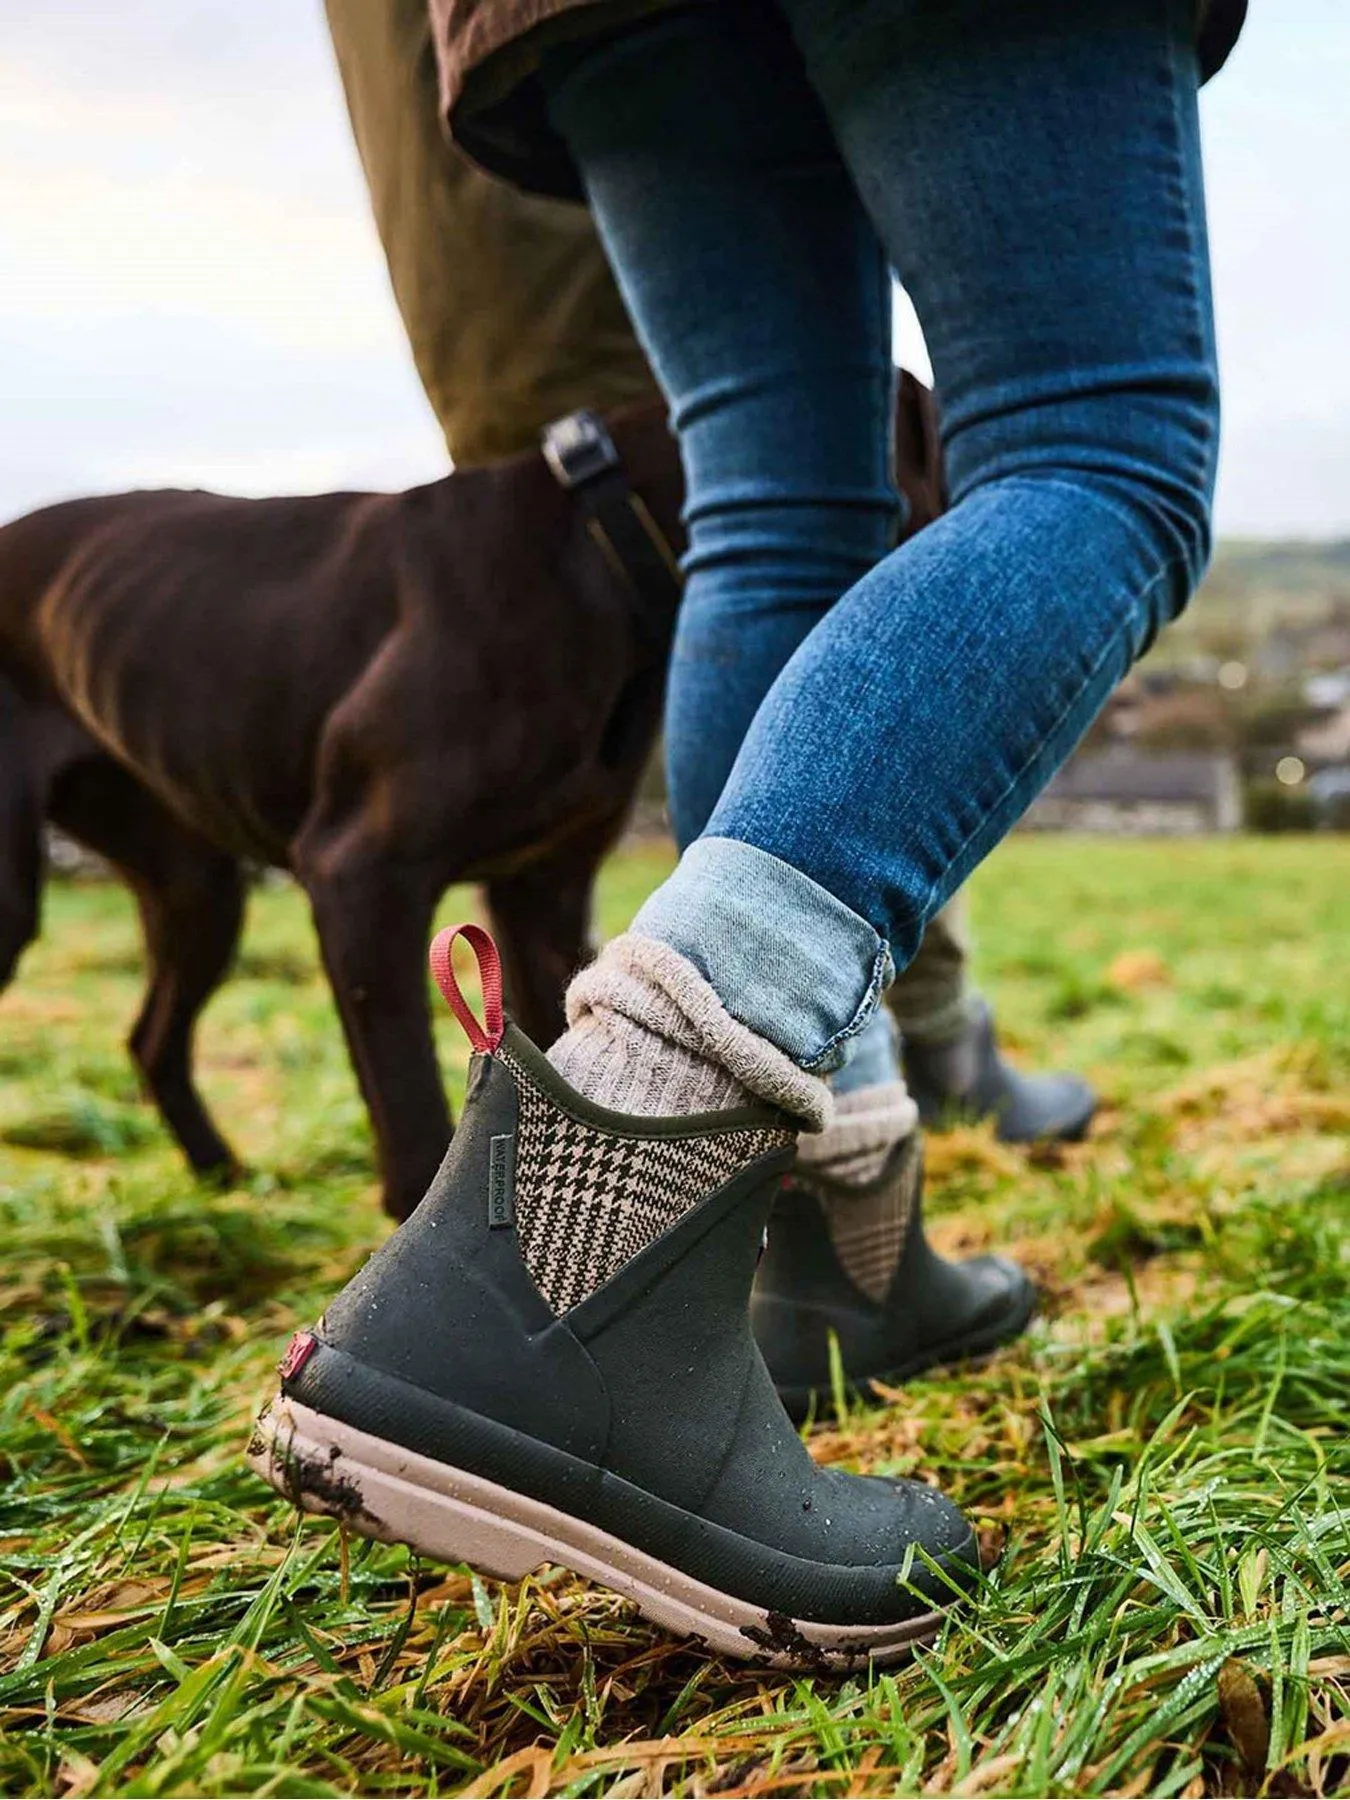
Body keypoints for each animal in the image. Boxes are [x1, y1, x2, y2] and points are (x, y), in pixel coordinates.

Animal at [0, 379, 943, 1224]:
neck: (595, 543)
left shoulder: (542, 893)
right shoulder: (363, 878)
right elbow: (411, 1104)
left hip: (197, 891)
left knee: (152, 1035)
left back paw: (220, 1175)